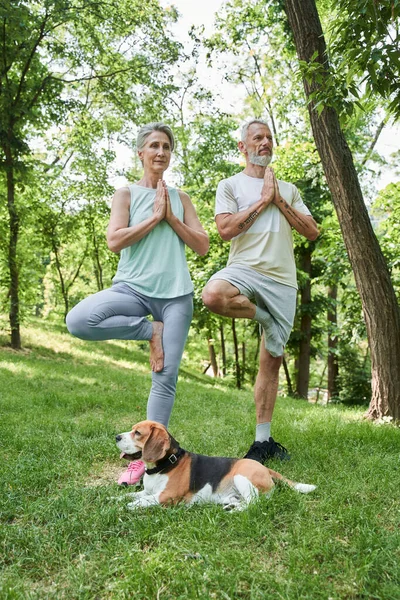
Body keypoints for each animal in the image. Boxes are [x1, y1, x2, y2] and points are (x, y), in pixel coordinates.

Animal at [115, 422, 316, 510]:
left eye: (137, 433)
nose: (116, 436)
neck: (164, 466)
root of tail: (265, 468)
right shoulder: (147, 491)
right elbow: (129, 495)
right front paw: (113, 499)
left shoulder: (166, 496)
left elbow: (140, 501)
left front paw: (128, 506)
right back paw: (232, 505)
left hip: (241, 475)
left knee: (255, 502)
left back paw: (237, 510)